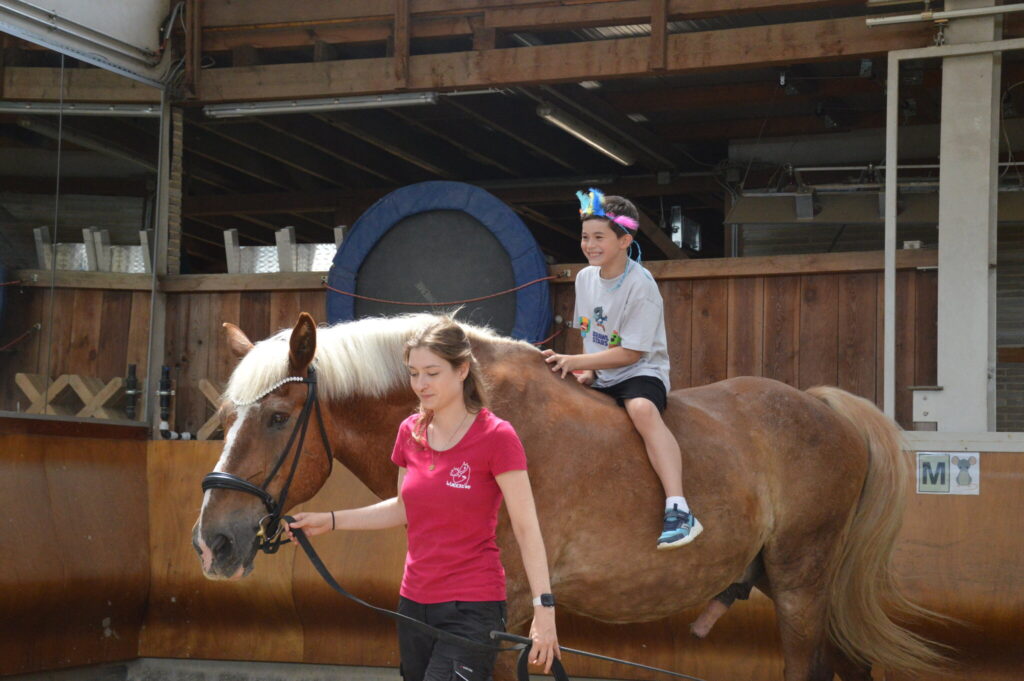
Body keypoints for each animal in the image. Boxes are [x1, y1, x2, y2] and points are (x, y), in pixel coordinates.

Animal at [193, 312, 944, 681]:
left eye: (278, 417)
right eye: (226, 417)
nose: (213, 540)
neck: (479, 410)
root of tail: (825, 407)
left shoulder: (504, 617)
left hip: (800, 587)